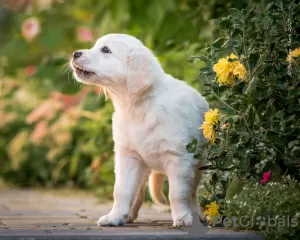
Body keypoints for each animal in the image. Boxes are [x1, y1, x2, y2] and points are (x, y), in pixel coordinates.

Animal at [71, 33, 210, 227]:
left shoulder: (179, 158)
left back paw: (197, 214)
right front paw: (115, 216)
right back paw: (128, 215)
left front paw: (183, 218)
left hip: (198, 165)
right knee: (138, 193)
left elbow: (177, 193)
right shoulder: (128, 156)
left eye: (106, 50)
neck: (137, 106)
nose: (75, 54)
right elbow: (121, 190)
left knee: (193, 193)